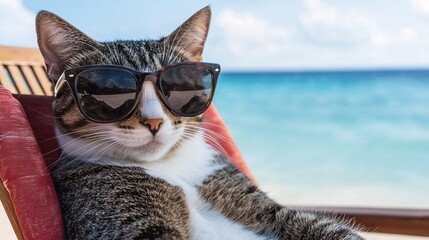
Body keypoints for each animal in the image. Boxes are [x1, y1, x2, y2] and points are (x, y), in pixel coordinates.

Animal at [36, 6, 364, 239]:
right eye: (109, 91)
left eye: (178, 86)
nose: (154, 121)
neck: (169, 168)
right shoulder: (116, 213)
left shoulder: (262, 205)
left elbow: (325, 227)